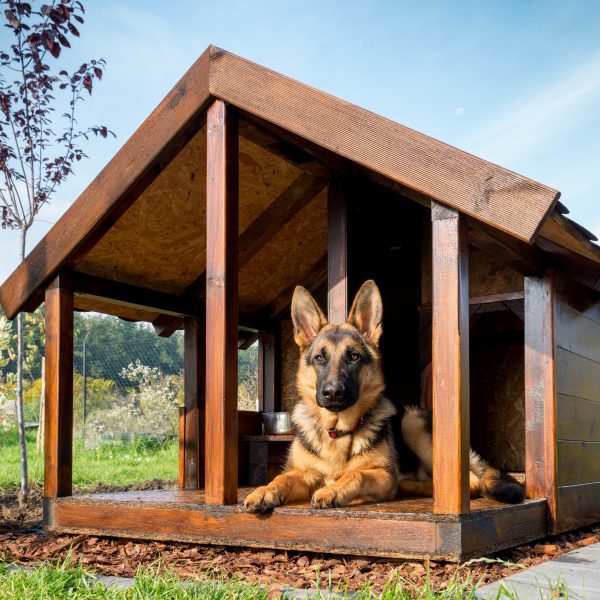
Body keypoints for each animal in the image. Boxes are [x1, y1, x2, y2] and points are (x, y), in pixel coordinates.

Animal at [244, 280, 524, 510]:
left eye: (353, 356)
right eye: (320, 358)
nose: (333, 393)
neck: (337, 432)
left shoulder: (379, 473)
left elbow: (356, 474)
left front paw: (333, 489)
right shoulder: (304, 474)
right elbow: (282, 477)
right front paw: (263, 490)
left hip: (412, 422)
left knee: (471, 482)